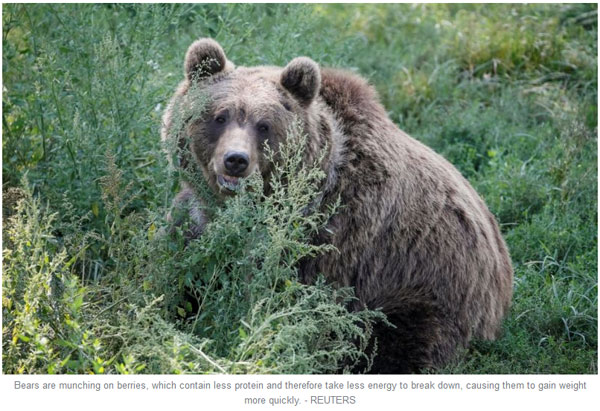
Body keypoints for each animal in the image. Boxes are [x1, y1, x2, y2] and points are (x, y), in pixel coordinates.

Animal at [162, 37, 512, 374]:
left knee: (395, 341)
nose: (236, 160)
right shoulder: (197, 218)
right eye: (219, 116)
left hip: (429, 288)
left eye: (264, 126)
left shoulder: (333, 239)